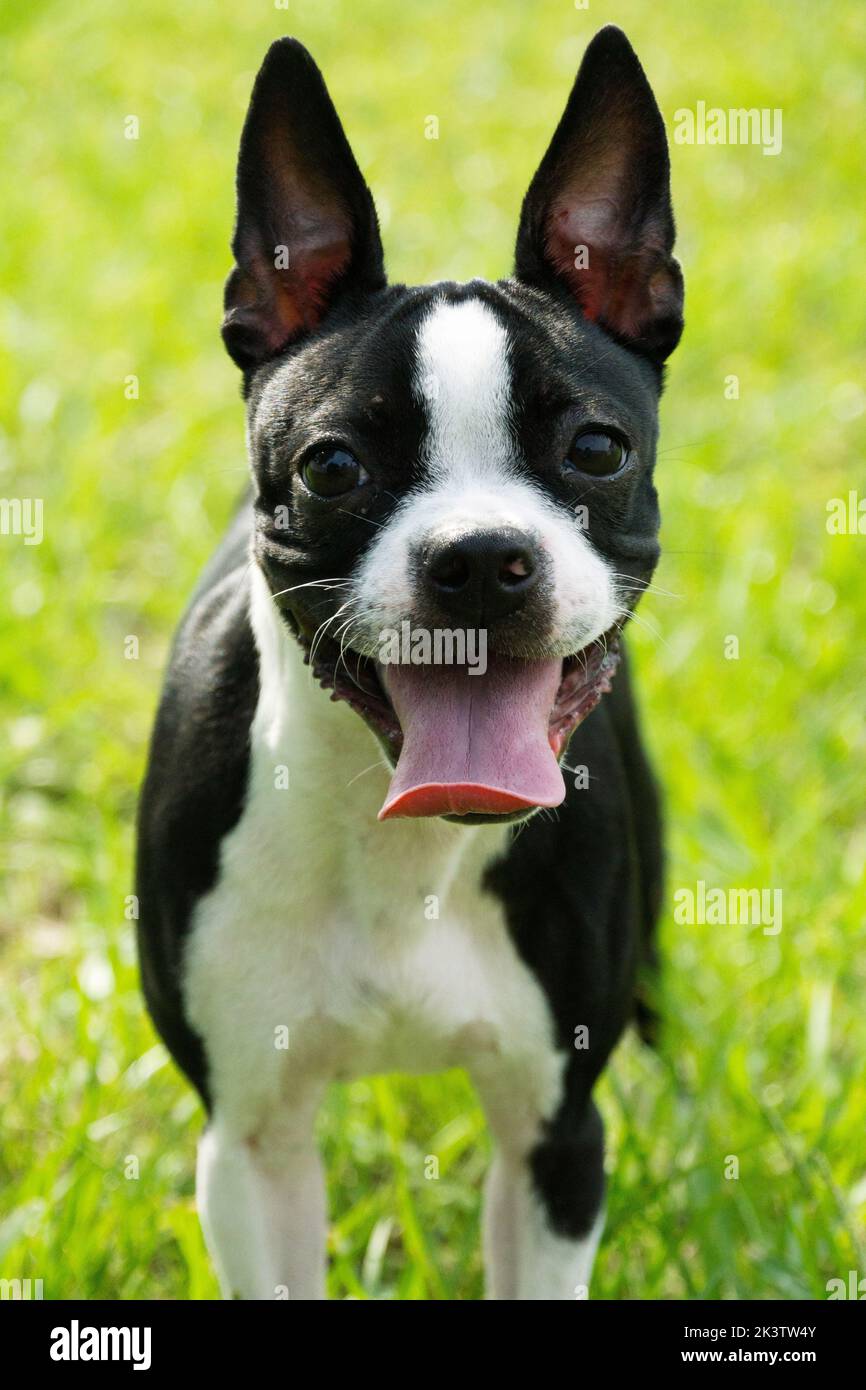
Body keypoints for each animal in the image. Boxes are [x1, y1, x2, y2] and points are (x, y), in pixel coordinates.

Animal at [136, 24, 683, 1301]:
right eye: (331, 467)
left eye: (595, 449)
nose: (478, 558)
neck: (406, 851)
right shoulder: (251, 1146)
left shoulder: (554, 1139)